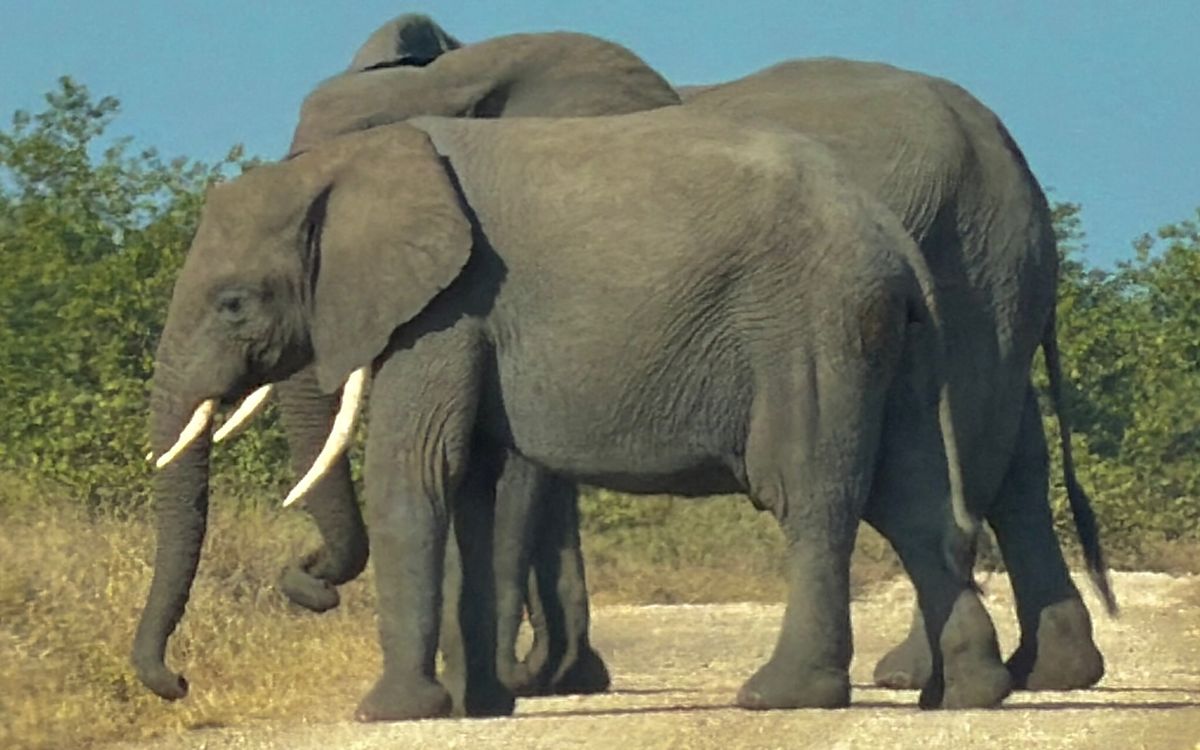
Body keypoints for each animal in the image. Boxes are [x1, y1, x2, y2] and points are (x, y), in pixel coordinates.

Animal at [134, 106, 1016, 721]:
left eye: (234, 304)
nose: (177, 683)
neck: (349, 164)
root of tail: (891, 236)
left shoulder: (448, 307)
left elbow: (415, 472)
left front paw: (391, 714)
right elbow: (473, 486)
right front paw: (479, 708)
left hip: (810, 326)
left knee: (809, 495)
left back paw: (781, 696)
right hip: (886, 335)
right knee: (913, 502)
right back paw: (966, 695)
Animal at [676, 59, 1117, 691]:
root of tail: (1000, 149)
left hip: (953, 265)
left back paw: (918, 675)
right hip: (993, 274)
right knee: (1009, 456)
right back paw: (1051, 673)